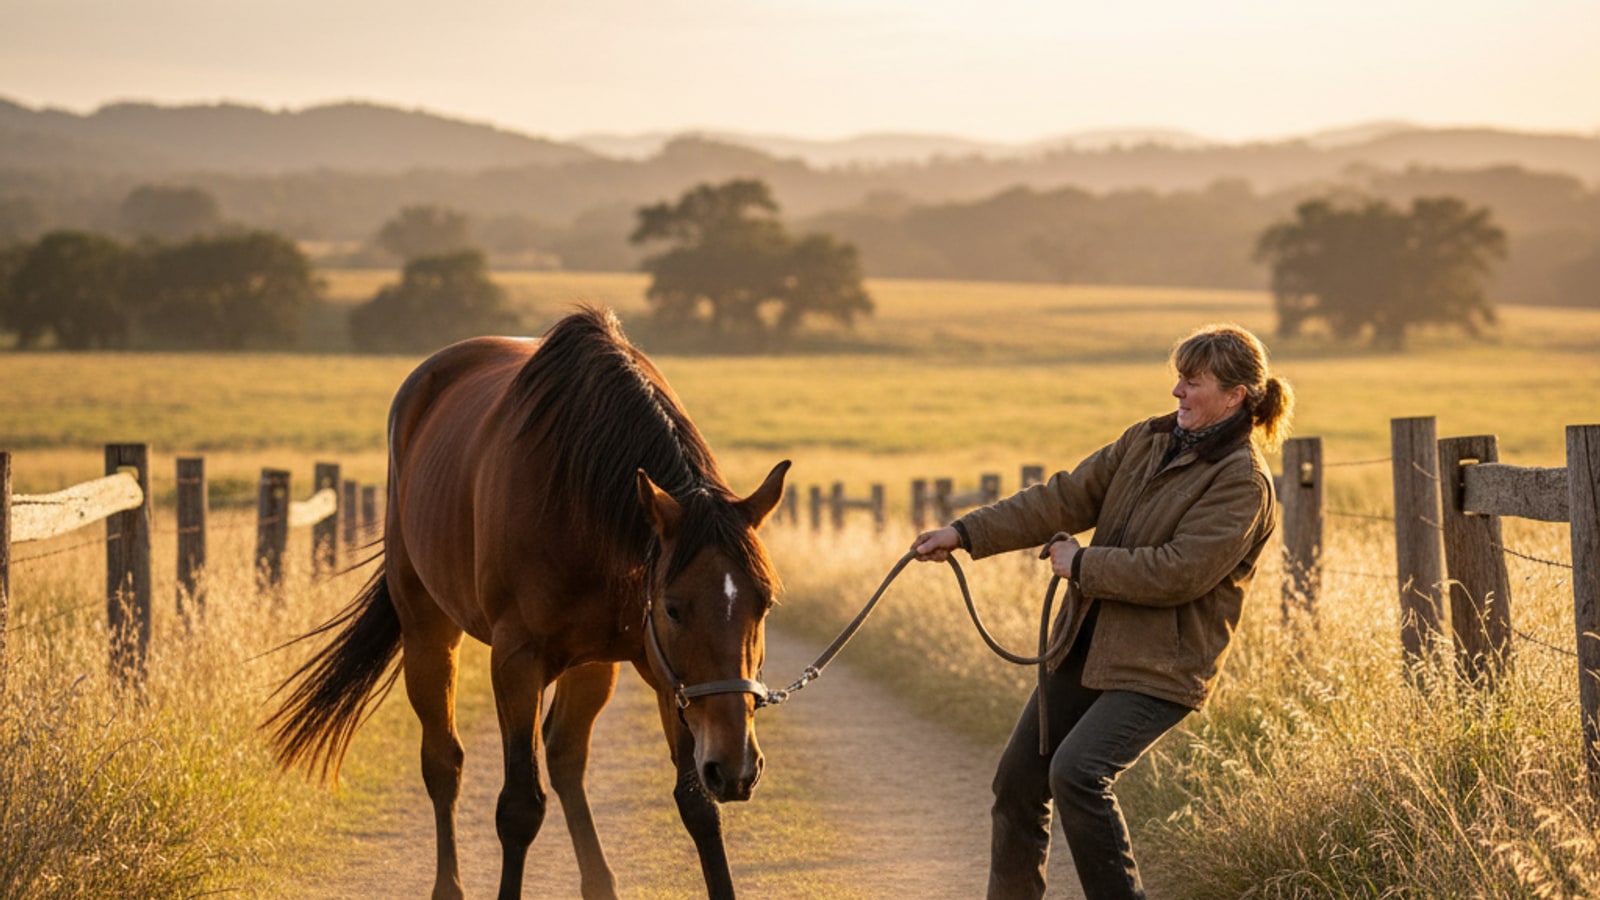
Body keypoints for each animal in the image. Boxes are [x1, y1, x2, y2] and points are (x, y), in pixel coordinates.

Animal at [264, 306, 790, 900]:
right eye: (674, 607)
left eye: (765, 605)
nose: (737, 767)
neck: (582, 500)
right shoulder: (518, 661)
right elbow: (518, 807)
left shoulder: (665, 675)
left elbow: (697, 806)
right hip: (428, 631)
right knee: (443, 762)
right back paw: (449, 884)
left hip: (596, 664)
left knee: (565, 756)